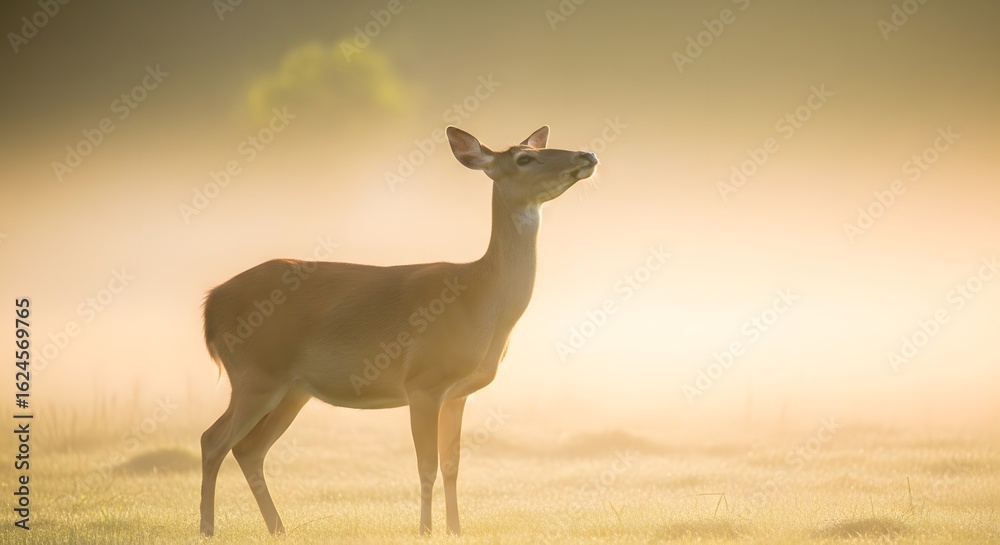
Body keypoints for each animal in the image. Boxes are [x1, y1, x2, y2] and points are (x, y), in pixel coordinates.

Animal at [198, 125, 599, 536]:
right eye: (524, 158)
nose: (587, 155)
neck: (481, 300)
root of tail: (211, 306)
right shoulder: (423, 381)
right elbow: (427, 466)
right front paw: (425, 530)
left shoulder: (458, 392)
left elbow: (452, 466)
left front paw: (455, 530)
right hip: (256, 374)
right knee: (213, 440)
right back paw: (208, 528)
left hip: (292, 389)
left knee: (249, 449)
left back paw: (278, 528)